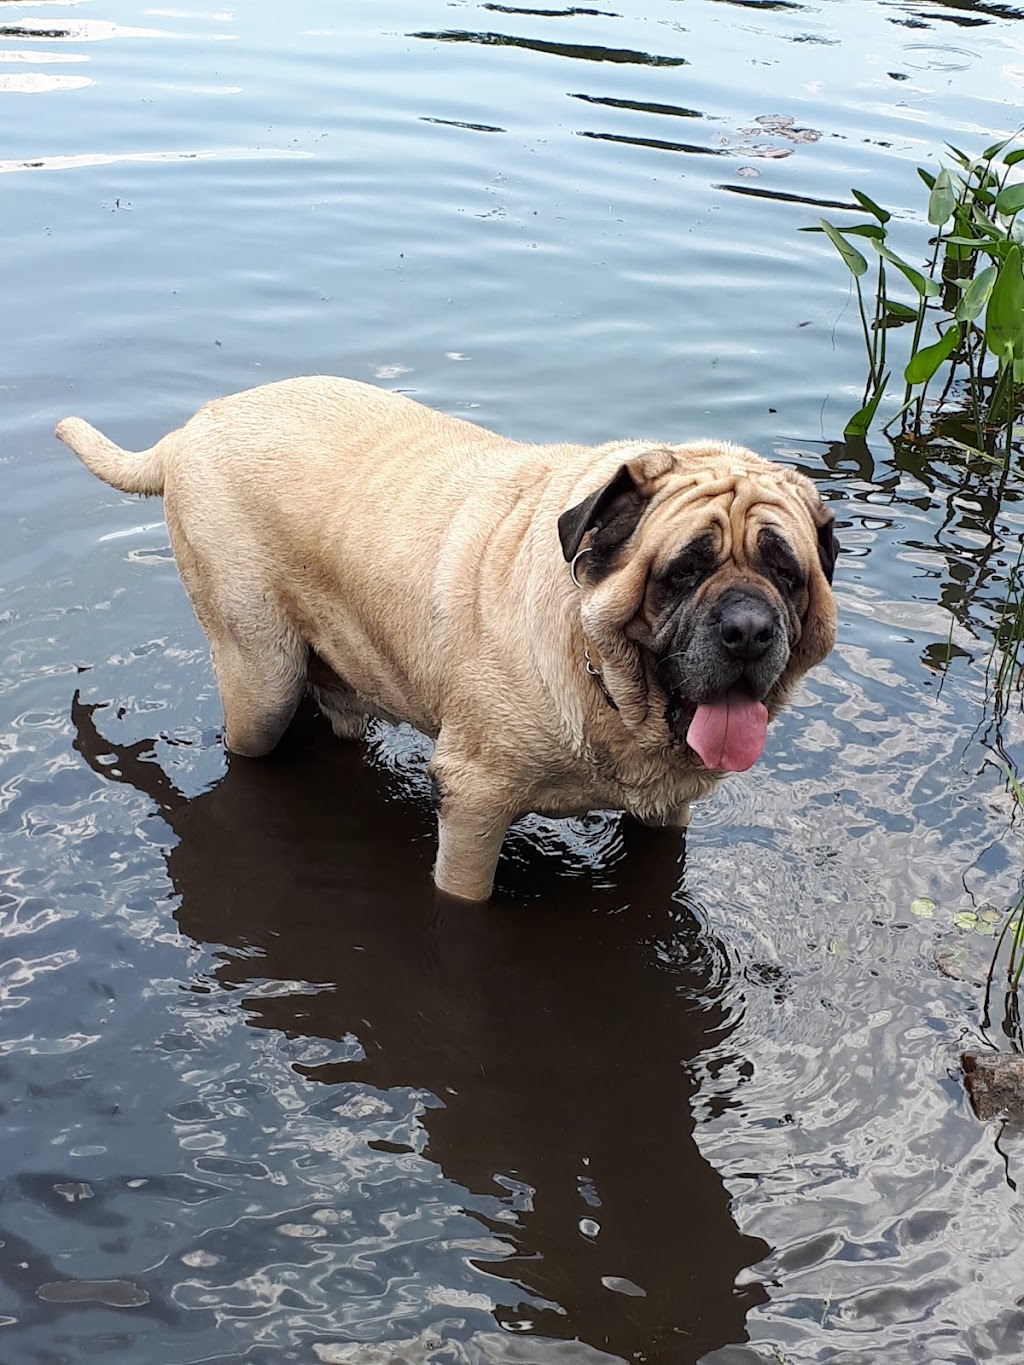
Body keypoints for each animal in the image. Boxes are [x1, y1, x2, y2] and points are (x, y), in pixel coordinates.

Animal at [55, 379, 835, 900]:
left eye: (785, 572)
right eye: (685, 570)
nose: (748, 628)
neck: (602, 677)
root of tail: (181, 436)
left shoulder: (667, 811)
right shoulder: (475, 806)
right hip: (260, 677)